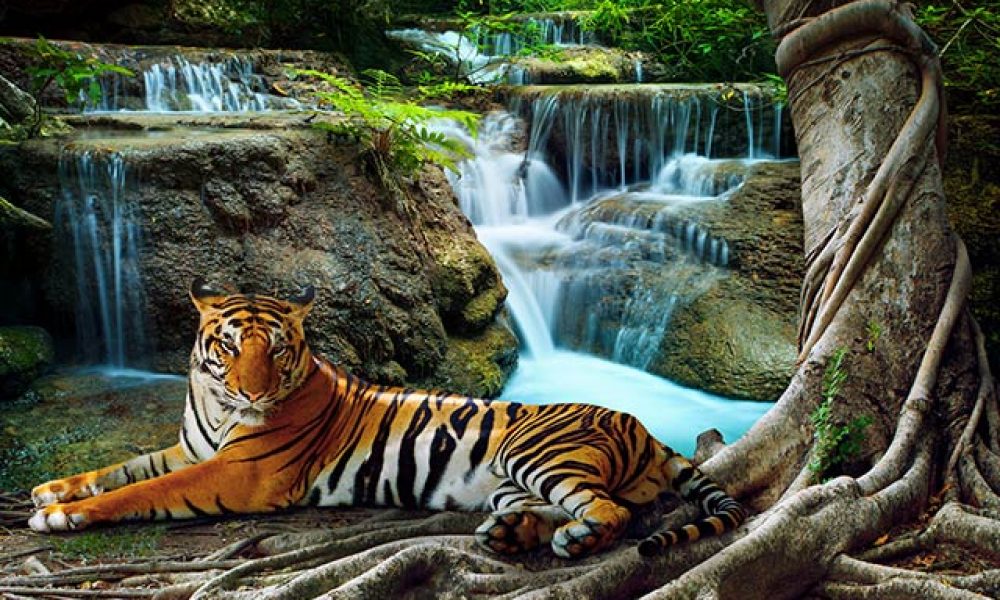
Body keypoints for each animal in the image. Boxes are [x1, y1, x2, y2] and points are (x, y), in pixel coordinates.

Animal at [28, 279, 747, 558]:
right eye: (228, 347)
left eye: (277, 349)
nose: (253, 392)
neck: (214, 403)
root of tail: (643, 427)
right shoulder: (192, 449)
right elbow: (125, 467)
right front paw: (51, 490)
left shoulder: (237, 474)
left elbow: (143, 490)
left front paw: (64, 515)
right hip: (512, 481)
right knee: (558, 509)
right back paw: (510, 534)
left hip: (536, 454)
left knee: (610, 512)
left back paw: (572, 539)